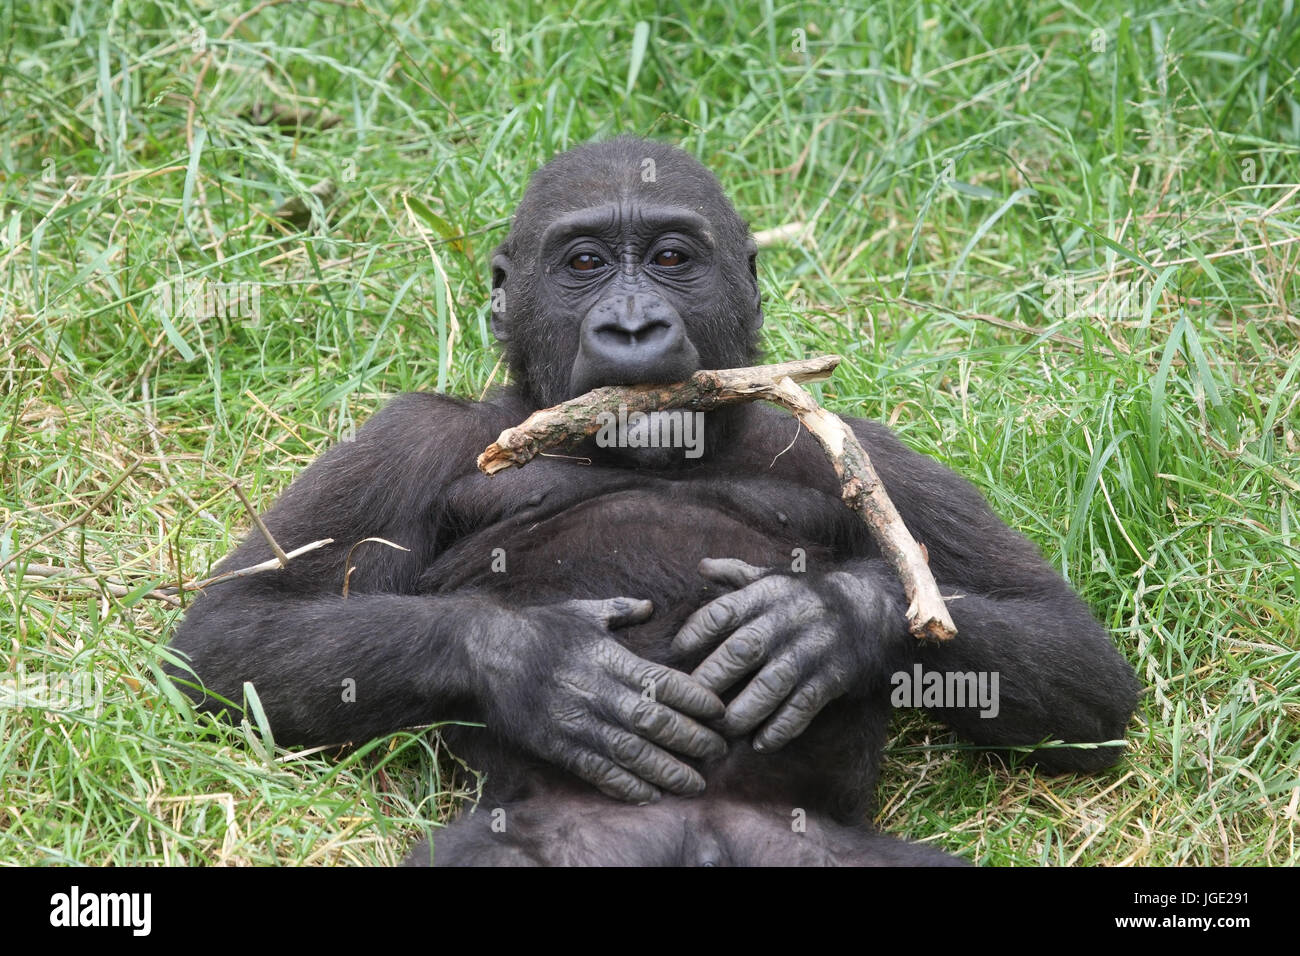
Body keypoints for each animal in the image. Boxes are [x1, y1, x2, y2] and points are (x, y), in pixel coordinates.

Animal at [167, 136, 1144, 868]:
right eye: (586, 263)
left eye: (672, 258)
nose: (632, 326)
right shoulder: (411, 437)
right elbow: (226, 636)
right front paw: (542, 665)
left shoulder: (883, 456)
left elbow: (1079, 661)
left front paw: (826, 621)